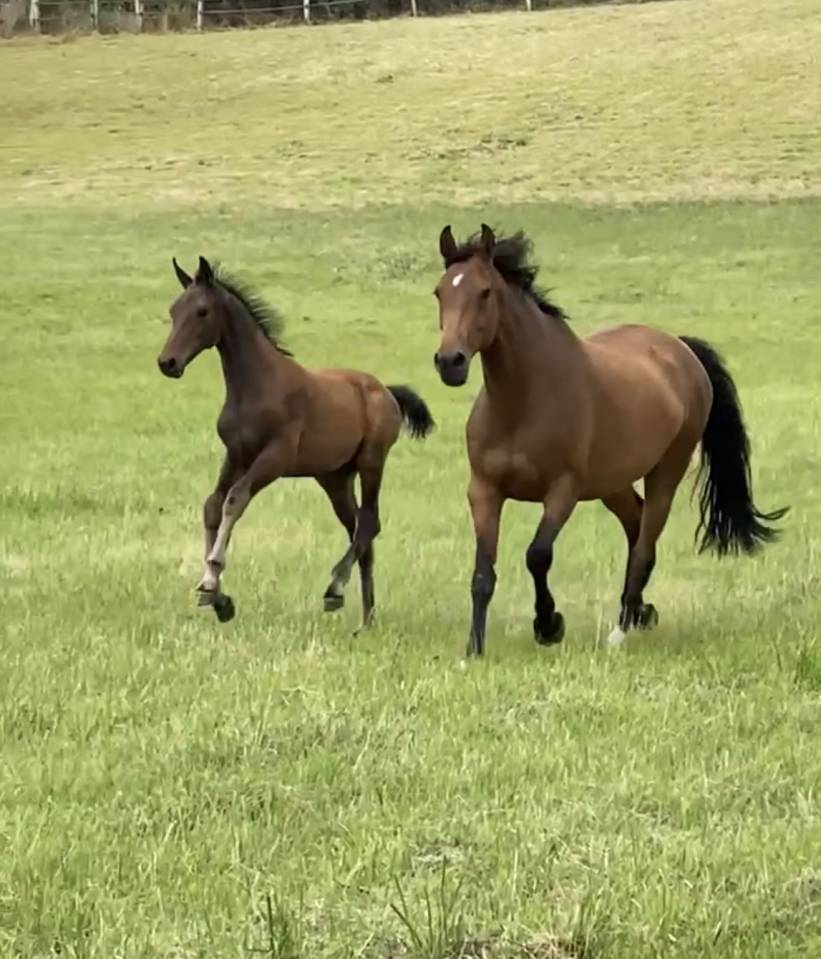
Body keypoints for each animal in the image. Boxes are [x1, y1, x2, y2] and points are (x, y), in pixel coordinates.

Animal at [157, 256, 434, 627]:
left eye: (202, 311)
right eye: (174, 310)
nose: (168, 363)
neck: (257, 384)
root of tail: (387, 391)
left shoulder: (274, 458)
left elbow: (234, 499)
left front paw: (211, 580)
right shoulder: (236, 455)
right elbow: (212, 506)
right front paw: (218, 597)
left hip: (372, 462)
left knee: (369, 522)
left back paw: (335, 588)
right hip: (335, 478)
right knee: (359, 528)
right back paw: (366, 617)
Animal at [432, 224, 787, 657]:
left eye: (484, 292)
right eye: (439, 292)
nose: (450, 362)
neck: (523, 401)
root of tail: (680, 348)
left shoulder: (563, 491)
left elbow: (538, 556)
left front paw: (548, 625)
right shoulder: (484, 490)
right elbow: (483, 573)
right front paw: (474, 648)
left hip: (666, 472)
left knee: (645, 544)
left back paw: (622, 629)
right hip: (612, 484)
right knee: (636, 529)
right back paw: (640, 613)